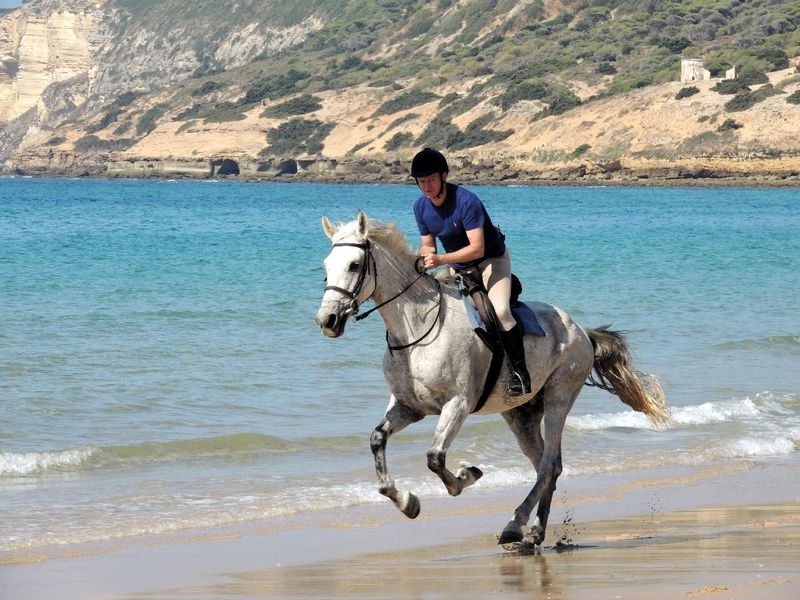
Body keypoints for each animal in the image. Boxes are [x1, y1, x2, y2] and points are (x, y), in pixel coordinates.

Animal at [315, 211, 669, 547]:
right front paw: (407, 502)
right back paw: (534, 533)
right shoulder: (408, 407)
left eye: (354, 264)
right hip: (520, 414)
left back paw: (515, 525)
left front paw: (466, 475)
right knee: (548, 465)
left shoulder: (457, 404)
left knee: (547, 465)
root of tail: (582, 331)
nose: (327, 321)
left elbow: (435, 458)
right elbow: (378, 440)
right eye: (326, 266)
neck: (416, 330)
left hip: (559, 396)